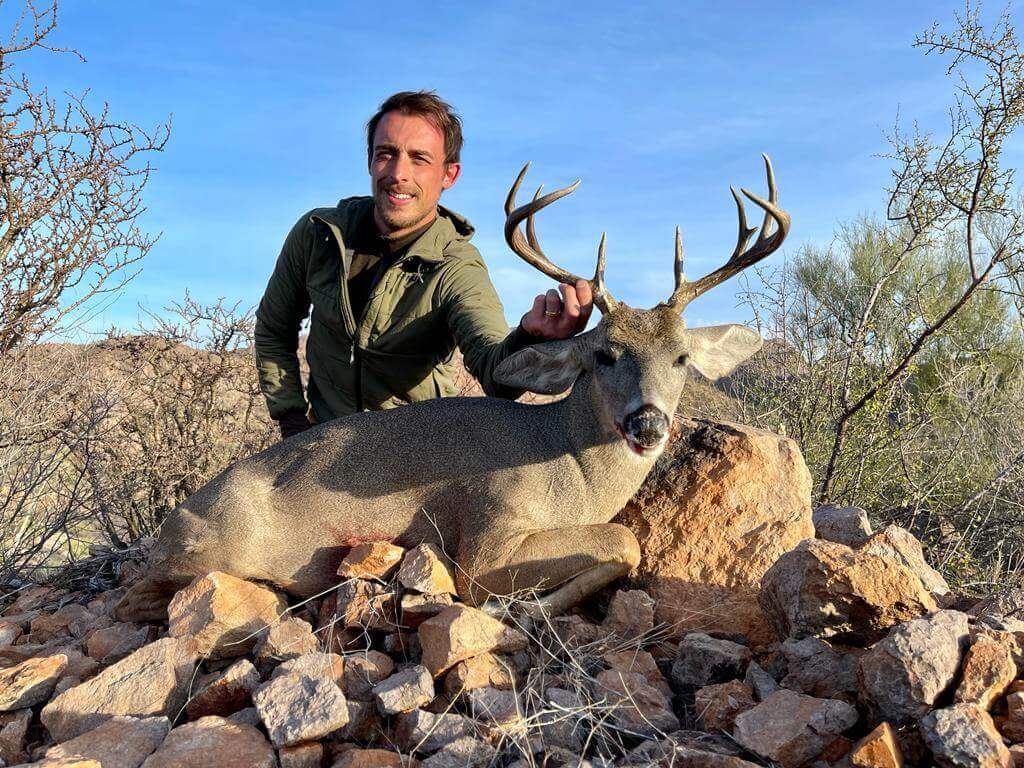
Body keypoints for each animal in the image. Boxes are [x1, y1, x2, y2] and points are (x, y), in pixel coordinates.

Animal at [114, 156, 790, 623]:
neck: (567, 468)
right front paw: (516, 607)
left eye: (681, 358)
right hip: (223, 549)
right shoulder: (488, 533)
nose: (647, 423)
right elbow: (623, 542)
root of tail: (173, 526)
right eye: (604, 353)